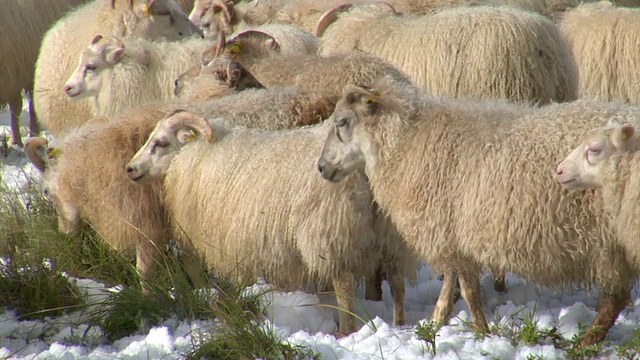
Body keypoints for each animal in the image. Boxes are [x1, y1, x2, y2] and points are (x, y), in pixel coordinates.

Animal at [316, 77, 640, 348]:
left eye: (342, 122)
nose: (321, 167)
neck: (405, 142)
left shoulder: (454, 230)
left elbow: (469, 290)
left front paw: (481, 332)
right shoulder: (452, 231)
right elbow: (452, 284)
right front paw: (437, 323)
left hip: (609, 239)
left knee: (616, 297)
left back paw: (586, 342)